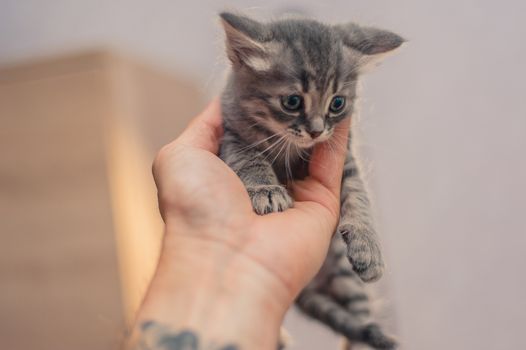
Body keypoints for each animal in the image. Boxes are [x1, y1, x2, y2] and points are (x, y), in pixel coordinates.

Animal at [219, 12, 404, 348]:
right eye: (292, 101)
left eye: (337, 104)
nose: (317, 131)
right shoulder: (232, 136)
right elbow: (252, 161)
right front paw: (267, 190)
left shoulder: (345, 157)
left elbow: (359, 195)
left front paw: (369, 244)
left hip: (345, 275)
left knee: (361, 318)